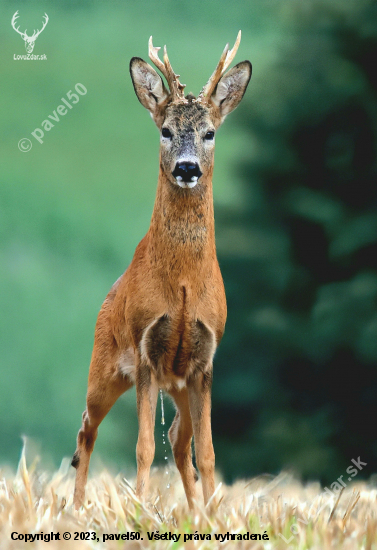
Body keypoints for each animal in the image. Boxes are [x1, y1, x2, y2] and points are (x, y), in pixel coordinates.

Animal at [72, 32, 251, 512]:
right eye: (166, 130)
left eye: (210, 132)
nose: (187, 168)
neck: (185, 285)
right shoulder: (146, 352)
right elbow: (143, 448)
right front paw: (137, 511)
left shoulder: (205, 360)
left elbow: (206, 452)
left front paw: (213, 516)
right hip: (104, 367)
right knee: (86, 429)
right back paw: (75, 509)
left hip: (180, 386)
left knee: (179, 439)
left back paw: (193, 511)